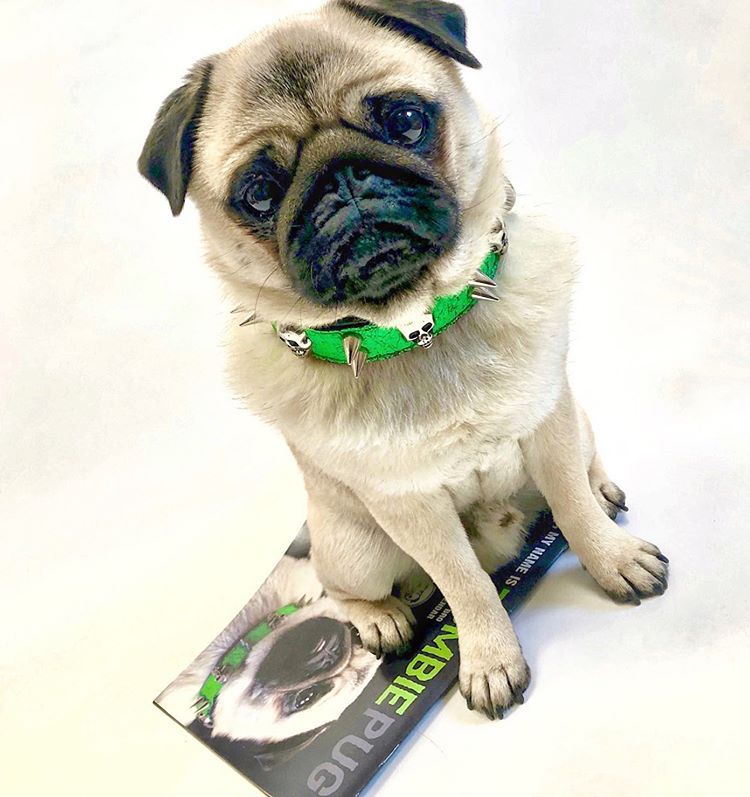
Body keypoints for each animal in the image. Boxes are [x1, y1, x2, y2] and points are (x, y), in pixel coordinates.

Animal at [140, 0, 668, 720]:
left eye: (407, 120)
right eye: (259, 192)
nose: (343, 179)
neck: (417, 327)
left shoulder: (550, 426)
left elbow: (574, 510)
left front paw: (611, 557)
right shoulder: (409, 503)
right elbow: (465, 583)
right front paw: (489, 657)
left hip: (577, 422)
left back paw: (601, 484)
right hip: (354, 545)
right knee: (346, 588)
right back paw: (381, 616)